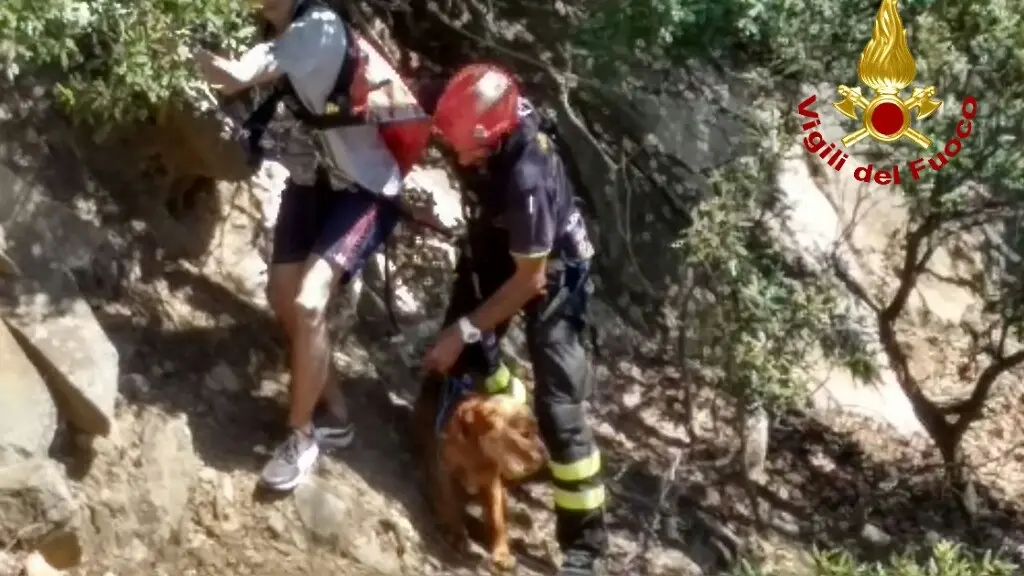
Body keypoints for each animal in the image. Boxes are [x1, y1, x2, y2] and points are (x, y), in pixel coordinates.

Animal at [411, 375, 548, 565]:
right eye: (525, 434)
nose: (546, 456)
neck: (477, 455)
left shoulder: (492, 485)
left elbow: (496, 520)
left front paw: (502, 553)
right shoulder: (443, 473)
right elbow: (449, 504)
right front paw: (456, 533)